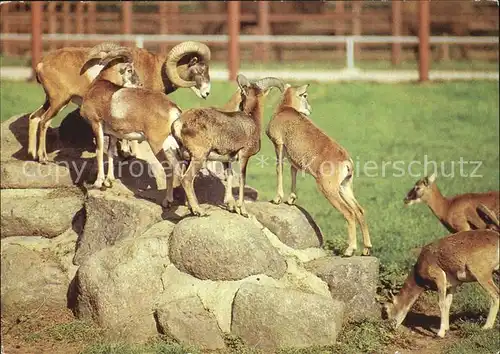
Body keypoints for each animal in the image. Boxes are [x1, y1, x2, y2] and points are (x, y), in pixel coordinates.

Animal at [81, 48, 183, 206]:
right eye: (130, 70)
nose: (140, 85)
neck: (98, 86)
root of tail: (173, 108)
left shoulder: (96, 124)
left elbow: (99, 151)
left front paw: (98, 183)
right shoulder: (113, 134)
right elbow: (110, 153)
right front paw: (109, 181)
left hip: (157, 145)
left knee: (169, 170)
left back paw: (167, 202)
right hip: (170, 146)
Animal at [172, 74, 284, 216]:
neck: (252, 120)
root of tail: (179, 123)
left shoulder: (226, 160)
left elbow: (229, 176)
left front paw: (231, 207)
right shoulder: (244, 156)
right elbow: (242, 179)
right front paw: (243, 211)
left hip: (186, 158)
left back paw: (193, 209)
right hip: (199, 157)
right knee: (186, 179)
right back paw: (200, 211)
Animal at [266, 82, 372, 258]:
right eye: (305, 95)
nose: (310, 109)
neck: (285, 111)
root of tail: (346, 162)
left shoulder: (278, 145)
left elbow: (279, 169)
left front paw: (276, 199)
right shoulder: (294, 161)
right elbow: (293, 172)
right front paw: (290, 199)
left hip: (329, 191)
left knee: (349, 213)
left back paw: (349, 251)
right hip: (344, 188)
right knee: (359, 211)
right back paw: (366, 249)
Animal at [384, 205, 498, 338]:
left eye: (386, 310)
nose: (390, 327)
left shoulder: (439, 278)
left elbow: (441, 303)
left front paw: (440, 333)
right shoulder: (452, 285)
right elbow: (448, 303)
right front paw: (447, 328)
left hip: (482, 275)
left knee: (495, 294)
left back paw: (486, 327)